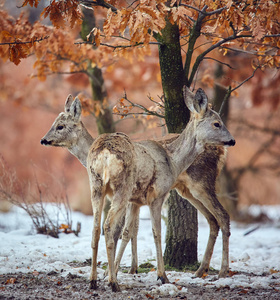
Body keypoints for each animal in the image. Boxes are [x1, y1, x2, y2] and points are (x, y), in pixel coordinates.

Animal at [40, 86, 235, 290]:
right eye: (217, 123)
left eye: (60, 126)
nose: (44, 139)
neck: (172, 160)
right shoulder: (155, 196)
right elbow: (150, 233)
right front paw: (160, 276)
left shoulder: (137, 200)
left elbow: (129, 231)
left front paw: (118, 271)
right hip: (171, 188)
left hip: (103, 187)